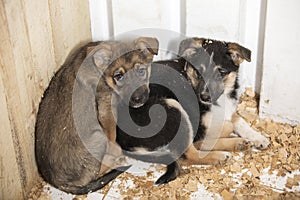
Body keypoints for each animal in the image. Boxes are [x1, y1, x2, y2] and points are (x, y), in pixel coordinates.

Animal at [35, 37, 159, 194]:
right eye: (119, 76)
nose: (137, 99)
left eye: (141, 71)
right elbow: (112, 136)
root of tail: (59, 183)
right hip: (98, 136)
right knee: (98, 171)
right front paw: (115, 151)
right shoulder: (106, 108)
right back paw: (115, 159)